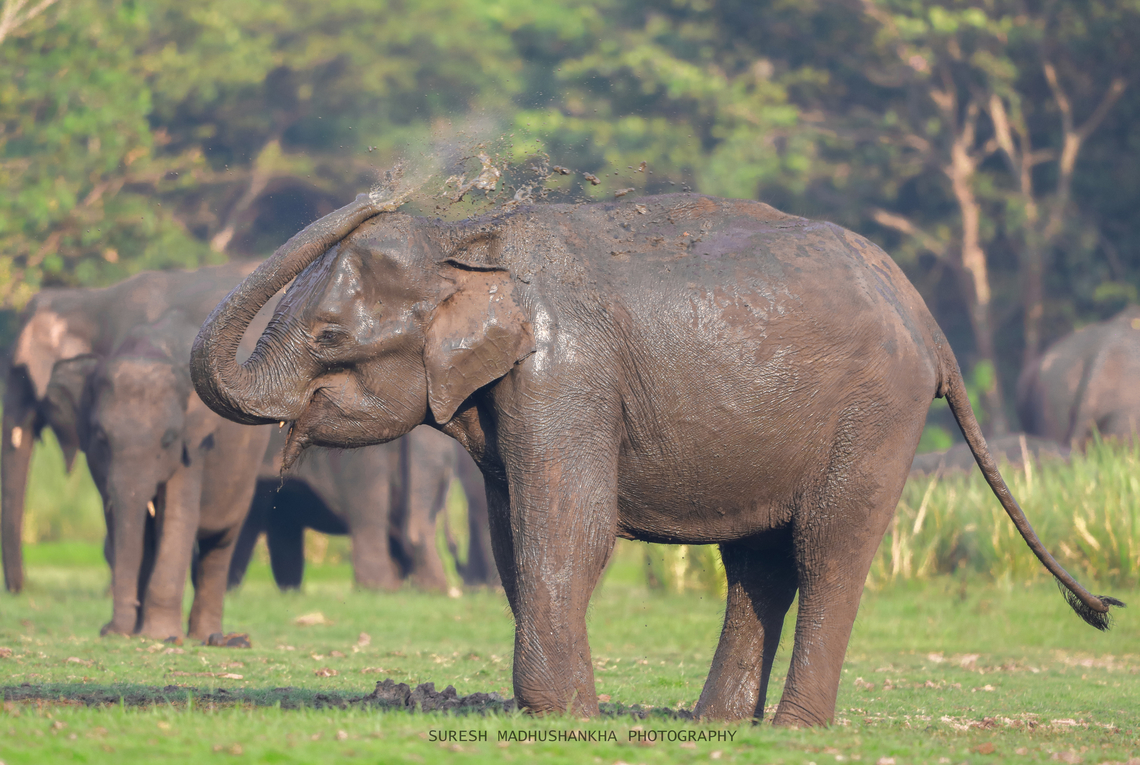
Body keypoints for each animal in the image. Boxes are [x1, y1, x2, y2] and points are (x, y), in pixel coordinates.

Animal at [48, 309, 270, 639]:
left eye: (168, 440)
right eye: (101, 437)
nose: (108, 631)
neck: (149, 351)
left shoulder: (193, 445)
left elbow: (178, 517)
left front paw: (158, 635)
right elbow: (120, 518)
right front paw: (130, 632)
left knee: (220, 543)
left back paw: (206, 637)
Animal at [227, 425, 495, 591]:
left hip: (363, 458)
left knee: (369, 510)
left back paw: (377, 588)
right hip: (435, 456)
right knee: (416, 530)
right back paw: (429, 589)